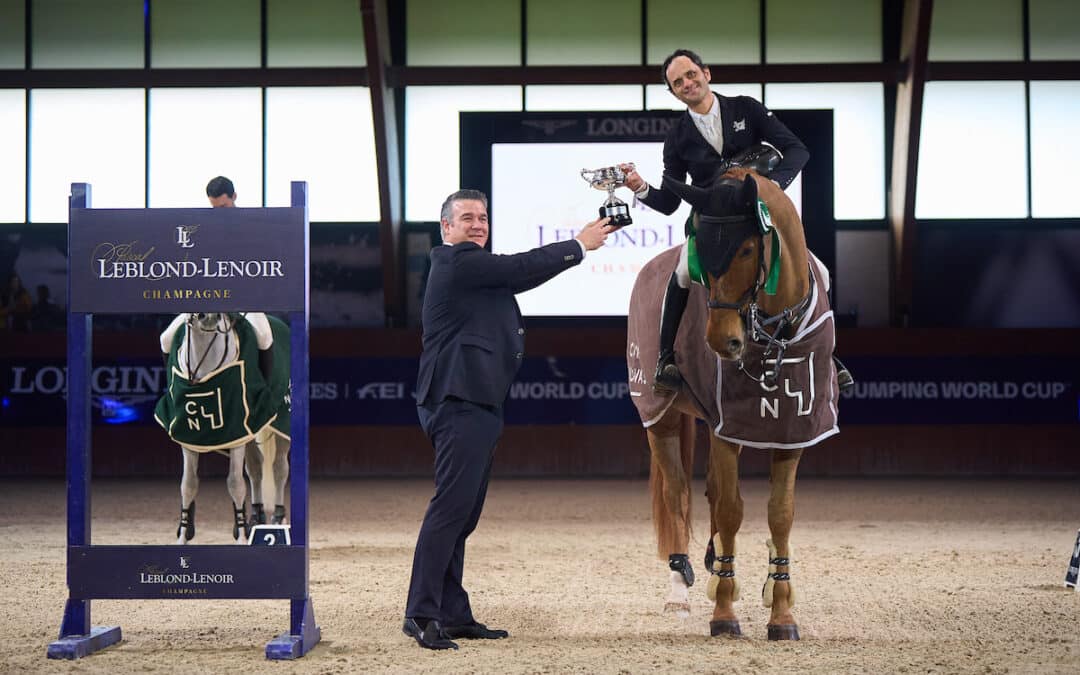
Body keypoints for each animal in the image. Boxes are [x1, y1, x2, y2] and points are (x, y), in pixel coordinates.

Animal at [630, 167, 838, 635]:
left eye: (746, 248)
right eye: (699, 252)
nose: (722, 343)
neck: (775, 331)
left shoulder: (792, 427)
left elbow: (780, 513)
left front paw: (781, 610)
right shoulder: (727, 426)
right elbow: (729, 510)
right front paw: (724, 612)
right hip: (658, 414)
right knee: (677, 493)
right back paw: (680, 587)